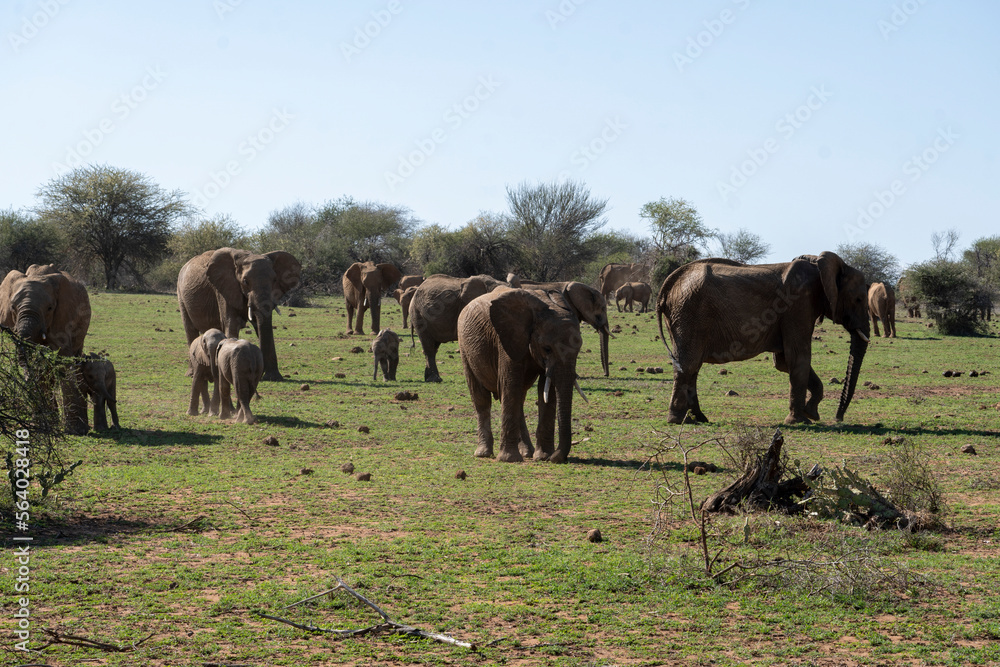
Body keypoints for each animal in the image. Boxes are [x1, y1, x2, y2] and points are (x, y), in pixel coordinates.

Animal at [0, 264, 92, 436]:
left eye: (50, 308)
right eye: (13, 308)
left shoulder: (63, 319)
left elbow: (63, 364)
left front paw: (74, 431)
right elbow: (37, 370)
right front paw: (43, 426)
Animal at [178, 247, 300, 384]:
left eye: (274, 280)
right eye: (245, 281)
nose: (261, 373)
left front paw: (273, 378)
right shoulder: (224, 289)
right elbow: (232, 323)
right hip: (181, 294)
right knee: (190, 330)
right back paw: (192, 374)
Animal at [458, 288, 588, 464]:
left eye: (579, 349)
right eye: (547, 348)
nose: (555, 458)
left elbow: (547, 390)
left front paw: (543, 456)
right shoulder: (507, 340)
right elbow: (510, 384)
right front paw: (509, 459)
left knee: (518, 399)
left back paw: (527, 452)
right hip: (465, 348)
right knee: (482, 398)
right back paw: (483, 453)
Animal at [656, 253, 868, 426]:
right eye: (858, 299)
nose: (838, 418)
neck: (821, 265)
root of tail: (668, 285)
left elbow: (784, 362)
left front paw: (811, 414)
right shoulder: (798, 303)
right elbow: (798, 357)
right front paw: (801, 420)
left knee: (692, 366)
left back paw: (699, 418)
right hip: (689, 313)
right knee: (689, 364)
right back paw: (678, 420)